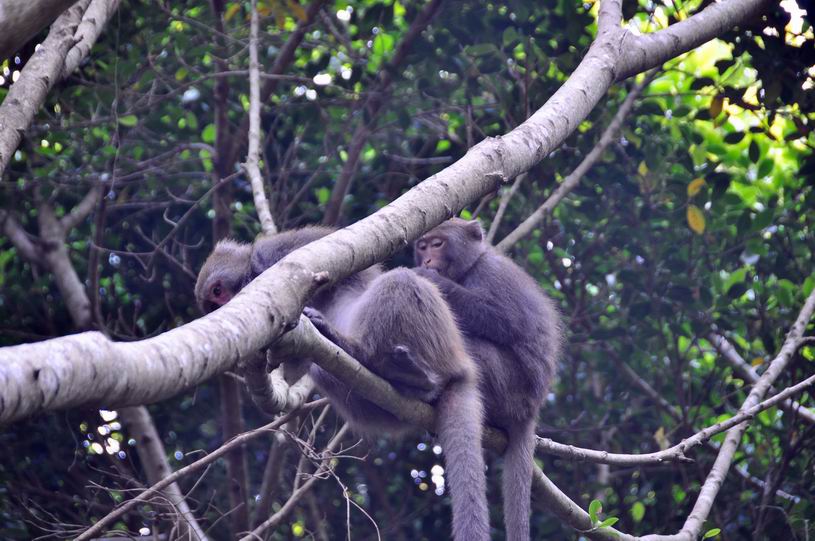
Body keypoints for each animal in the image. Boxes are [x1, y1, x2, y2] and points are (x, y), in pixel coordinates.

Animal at [196, 228, 490, 540]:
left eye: (218, 291)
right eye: (213, 304)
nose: (225, 306)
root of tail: (462, 365)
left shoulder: (278, 253)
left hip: (439, 344)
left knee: (399, 281)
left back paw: (370, 355)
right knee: (325, 370)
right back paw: (402, 378)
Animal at [414, 217, 560, 540]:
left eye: (438, 244)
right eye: (423, 246)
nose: (426, 260)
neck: (470, 267)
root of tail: (531, 410)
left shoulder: (490, 274)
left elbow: (505, 320)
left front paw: (430, 279)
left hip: (511, 391)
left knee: (474, 345)